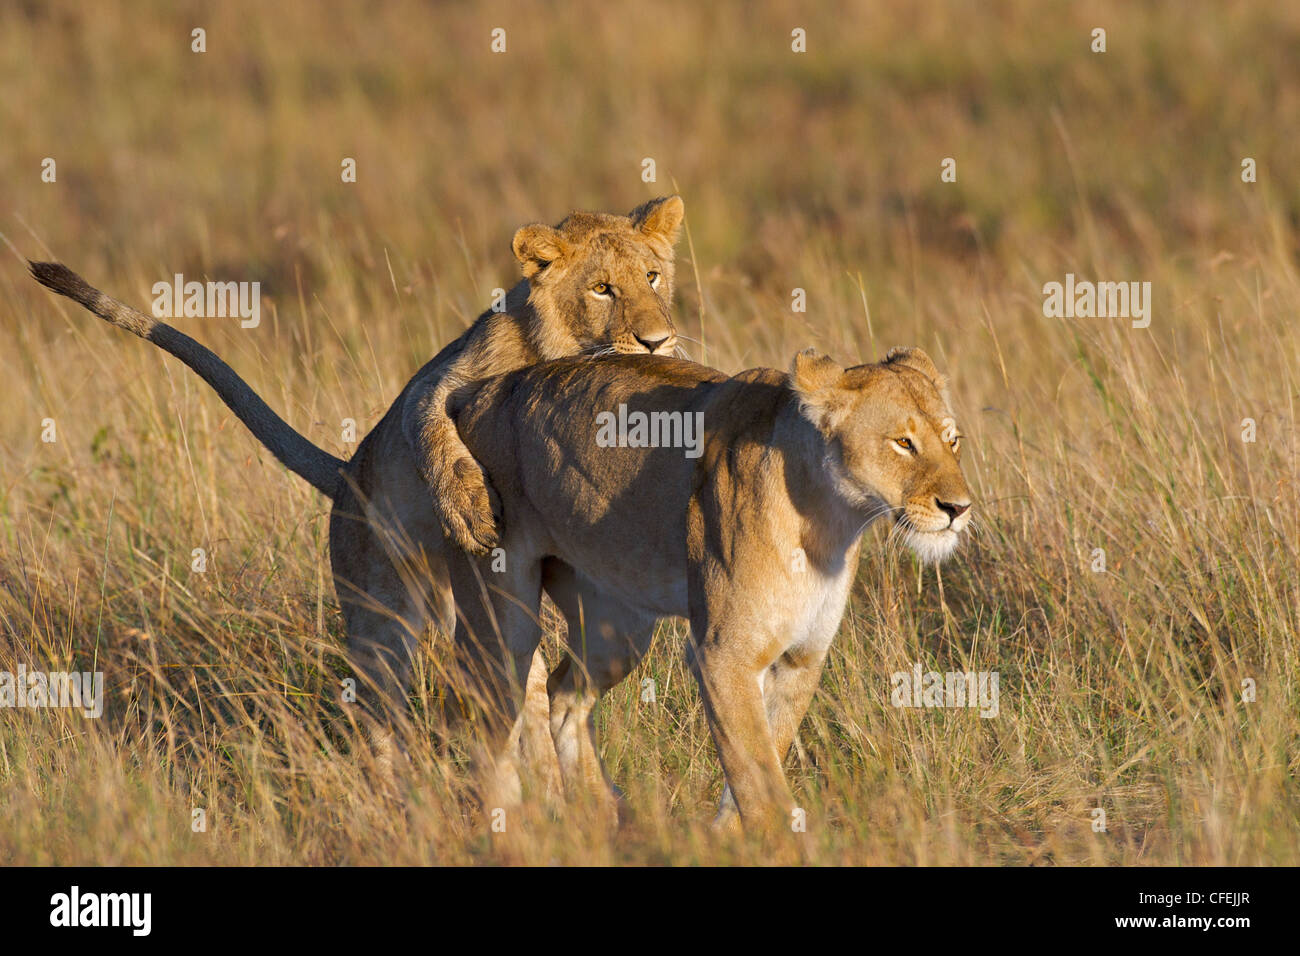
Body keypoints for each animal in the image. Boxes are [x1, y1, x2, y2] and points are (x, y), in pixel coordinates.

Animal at [25, 196, 686, 717]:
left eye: (654, 277)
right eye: (602, 289)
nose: (659, 341)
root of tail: (345, 474)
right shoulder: (439, 383)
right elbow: (434, 438)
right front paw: (471, 511)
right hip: (380, 616)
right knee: (377, 707)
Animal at [452, 345, 972, 832]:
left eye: (953, 441)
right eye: (903, 442)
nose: (959, 508)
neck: (829, 522)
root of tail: (476, 393)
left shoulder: (802, 657)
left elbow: (764, 754)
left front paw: (729, 836)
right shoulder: (724, 655)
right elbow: (758, 777)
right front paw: (777, 845)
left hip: (617, 630)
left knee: (564, 697)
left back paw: (605, 818)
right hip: (503, 622)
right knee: (492, 722)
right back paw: (510, 826)